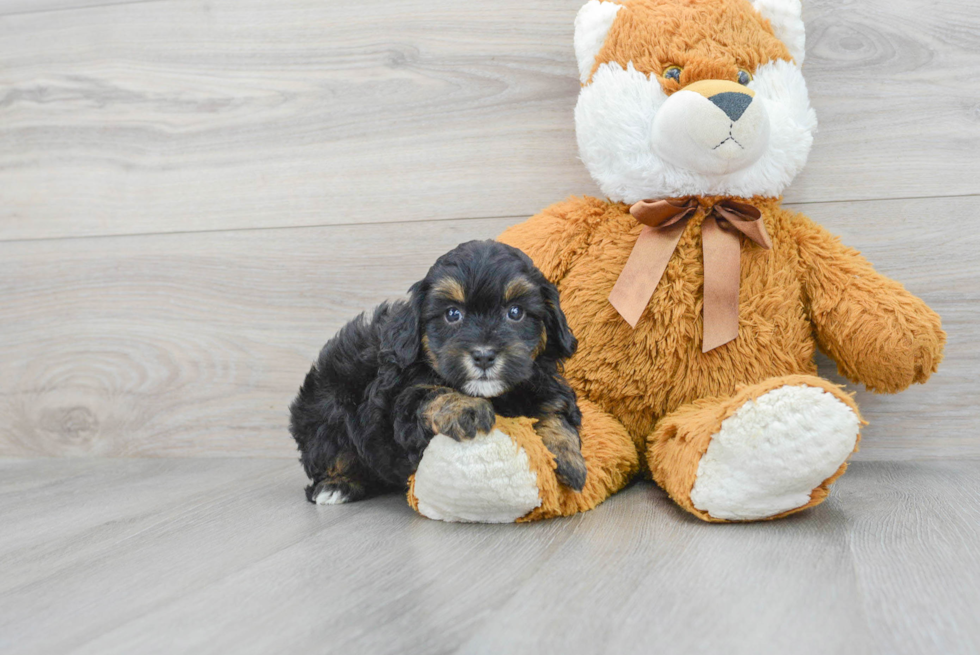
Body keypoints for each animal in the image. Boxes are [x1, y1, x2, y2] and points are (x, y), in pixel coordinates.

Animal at [288, 238, 584, 504]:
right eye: (452, 314)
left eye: (515, 312)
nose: (484, 355)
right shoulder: (403, 397)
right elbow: (434, 395)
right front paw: (467, 408)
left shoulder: (543, 383)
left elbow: (555, 410)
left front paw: (569, 457)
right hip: (326, 413)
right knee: (330, 454)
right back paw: (336, 486)